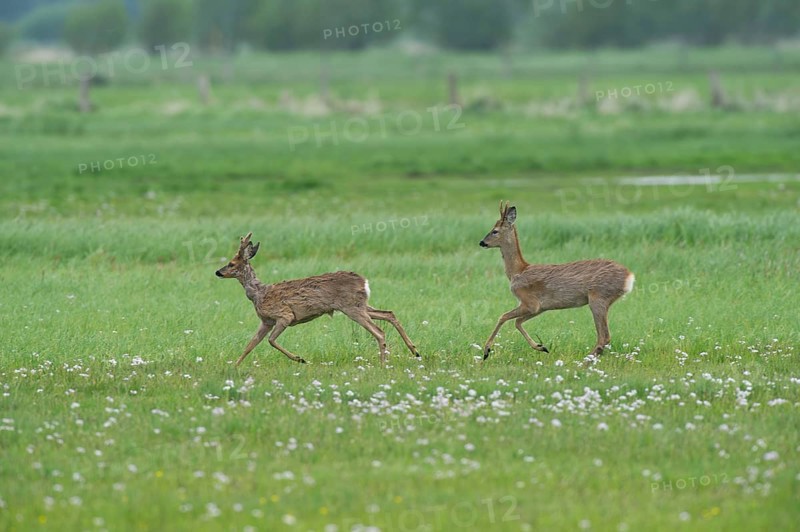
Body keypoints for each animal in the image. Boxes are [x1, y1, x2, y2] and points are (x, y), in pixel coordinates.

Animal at [215, 232, 420, 366]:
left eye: (231, 263)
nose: (218, 272)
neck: (259, 294)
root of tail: (364, 281)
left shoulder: (284, 316)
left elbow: (271, 341)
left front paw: (300, 359)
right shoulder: (266, 321)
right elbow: (250, 345)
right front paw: (234, 367)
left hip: (352, 307)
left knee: (379, 331)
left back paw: (384, 364)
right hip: (361, 304)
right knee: (389, 313)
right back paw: (415, 351)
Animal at [479, 202, 635, 363]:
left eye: (495, 231)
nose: (482, 242)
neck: (517, 271)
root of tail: (629, 276)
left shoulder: (530, 302)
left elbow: (503, 316)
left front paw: (486, 351)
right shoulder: (540, 307)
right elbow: (518, 322)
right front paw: (541, 346)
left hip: (598, 298)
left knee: (604, 336)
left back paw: (584, 362)